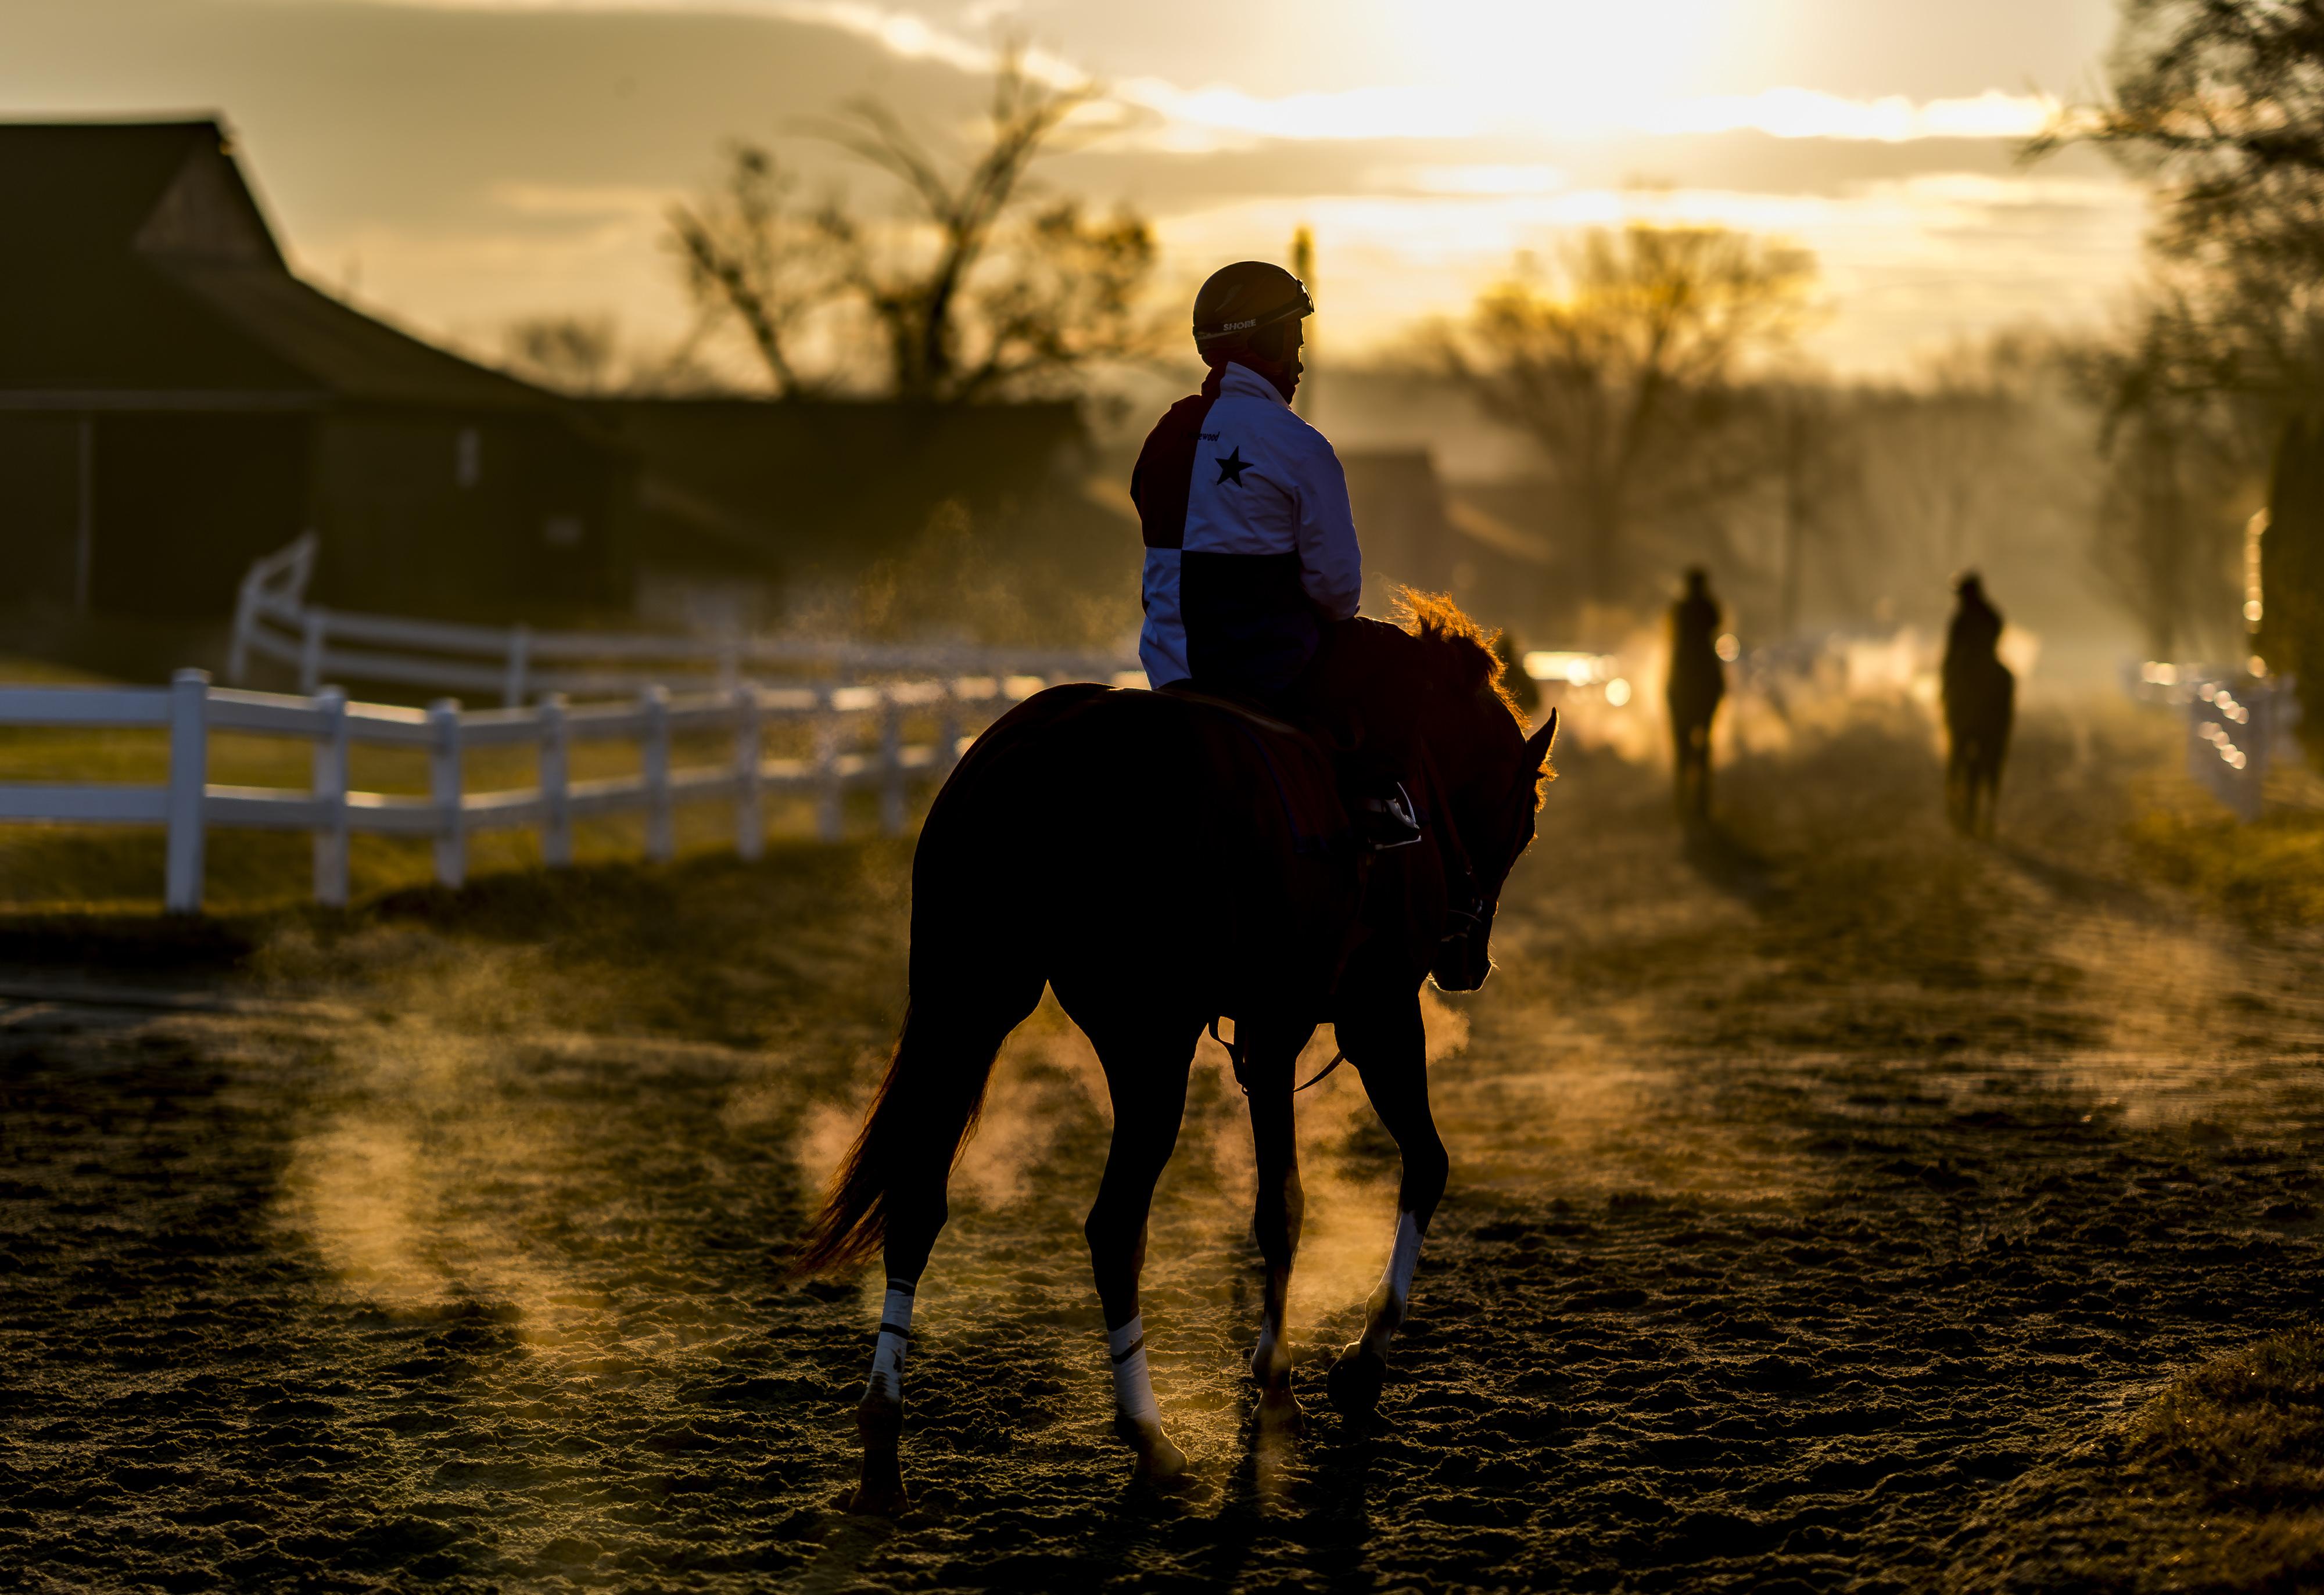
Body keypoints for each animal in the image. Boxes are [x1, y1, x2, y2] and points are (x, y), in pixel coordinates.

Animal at [792, 596, 1558, 1511]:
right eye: (1525, 818)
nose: (1467, 959)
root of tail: (1043, 750)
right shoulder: (1368, 1017)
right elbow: (1388, 1174)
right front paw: (1340, 1367)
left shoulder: (1269, 1033)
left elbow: (1282, 1202)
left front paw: (1286, 1379)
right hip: (1147, 1043)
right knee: (1115, 1223)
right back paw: (1149, 1437)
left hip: (970, 1004)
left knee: (916, 1201)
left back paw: (882, 1448)